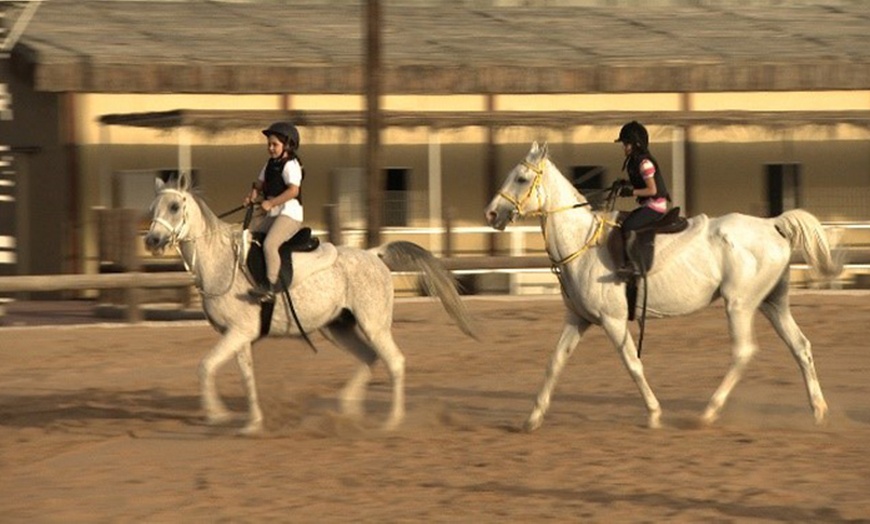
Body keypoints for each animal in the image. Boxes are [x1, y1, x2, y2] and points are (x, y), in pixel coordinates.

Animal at [148, 172, 476, 434]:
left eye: (175, 207)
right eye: (153, 208)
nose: (152, 240)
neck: (222, 263)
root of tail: (374, 254)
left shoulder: (239, 332)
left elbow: (205, 367)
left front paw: (217, 416)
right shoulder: (238, 336)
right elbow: (246, 377)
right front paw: (252, 423)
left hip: (374, 325)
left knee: (394, 362)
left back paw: (391, 422)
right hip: (337, 328)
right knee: (369, 358)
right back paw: (347, 409)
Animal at [488, 143, 840, 430]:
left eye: (521, 178)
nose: (492, 213)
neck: (583, 243)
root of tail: (771, 224)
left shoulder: (613, 321)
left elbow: (632, 363)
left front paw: (655, 414)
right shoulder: (579, 319)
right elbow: (555, 362)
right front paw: (533, 418)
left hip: (739, 305)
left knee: (743, 352)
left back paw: (708, 413)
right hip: (771, 303)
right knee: (800, 346)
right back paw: (819, 411)